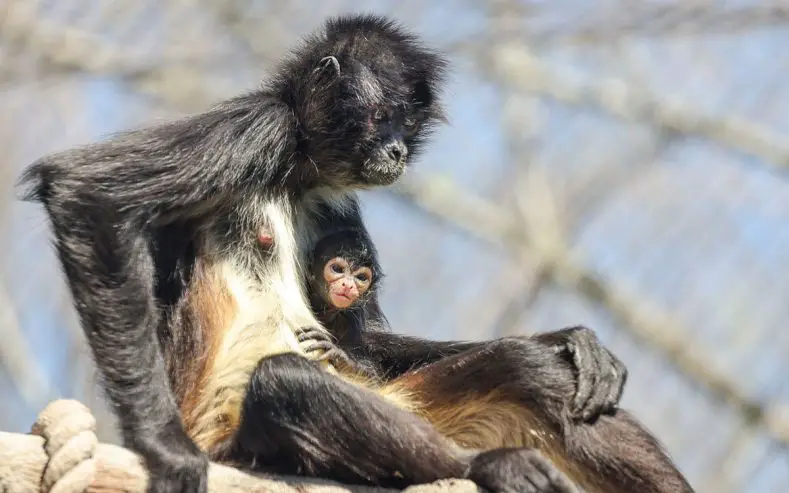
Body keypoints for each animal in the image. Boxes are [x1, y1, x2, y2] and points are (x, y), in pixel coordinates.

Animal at [16, 14, 596, 492]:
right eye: (381, 117)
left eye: (407, 126)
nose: (397, 151)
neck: (298, 169)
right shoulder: (260, 125)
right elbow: (84, 192)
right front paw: (165, 449)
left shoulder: (336, 200)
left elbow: (364, 334)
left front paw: (565, 338)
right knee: (286, 381)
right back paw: (485, 465)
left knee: (525, 366)